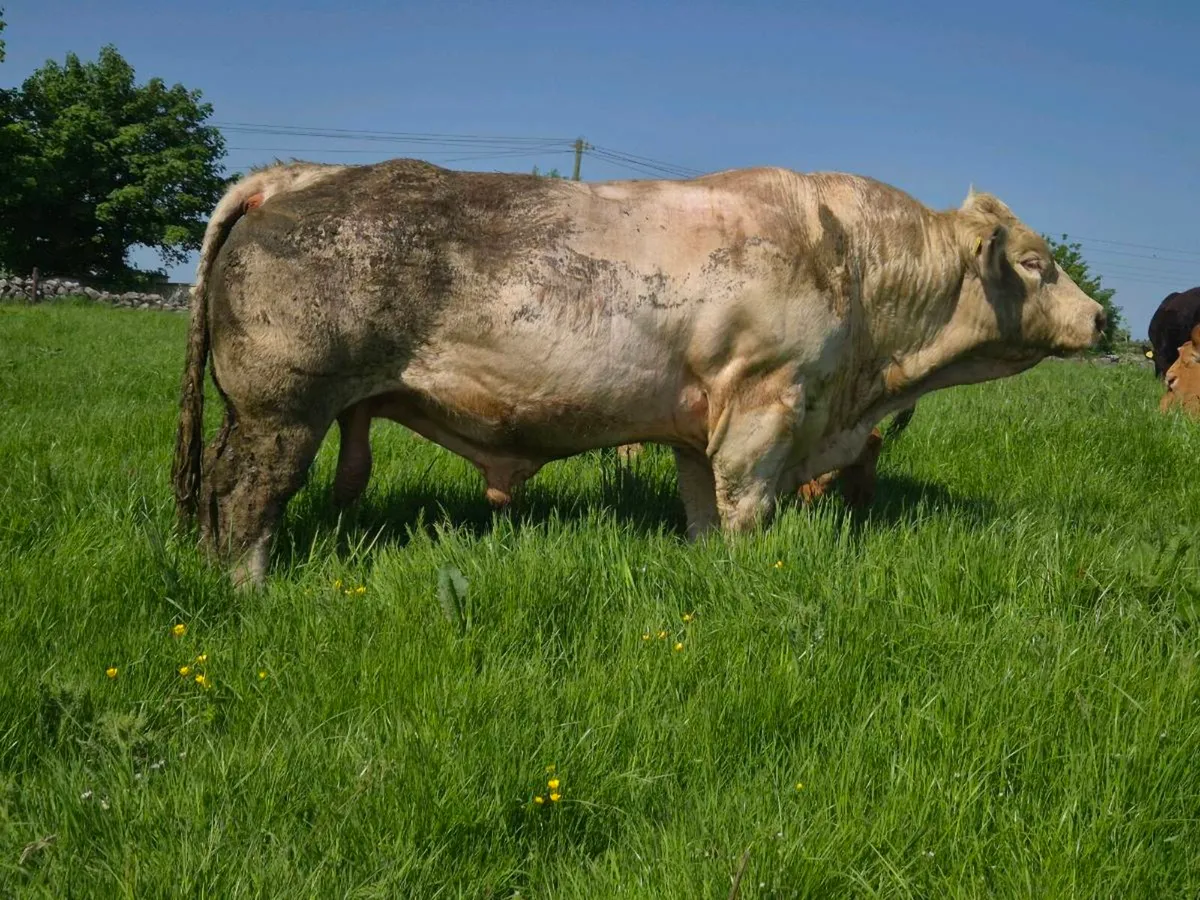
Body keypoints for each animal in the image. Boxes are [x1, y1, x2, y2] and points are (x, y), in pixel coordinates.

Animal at [171, 159, 1105, 589]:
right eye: (1037, 261)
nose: (1099, 318)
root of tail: (298, 172)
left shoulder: (700, 422)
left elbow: (700, 508)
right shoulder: (765, 403)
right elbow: (745, 506)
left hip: (257, 411)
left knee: (214, 491)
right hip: (284, 408)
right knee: (246, 496)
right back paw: (249, 588)